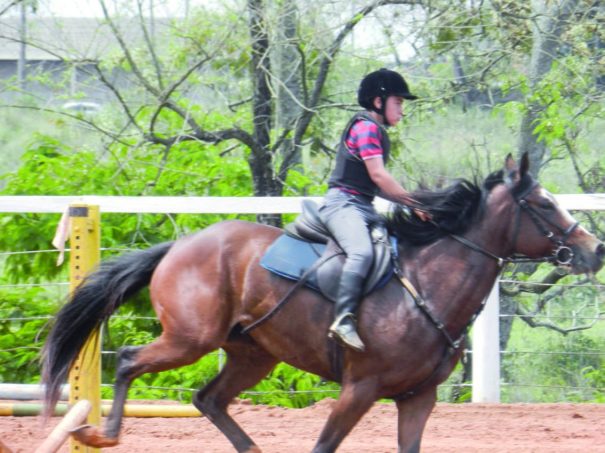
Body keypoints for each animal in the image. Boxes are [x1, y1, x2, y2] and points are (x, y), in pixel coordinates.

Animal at [40, 153, 600, 452]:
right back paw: (102, 433)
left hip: (252, 355)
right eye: (544, 204)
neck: (427, 285)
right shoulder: (359, 388)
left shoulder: (418, 397)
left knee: (209, 400)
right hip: (190, 339)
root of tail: (179, 246)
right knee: (130, 361)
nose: (596, 249)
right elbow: (324, 443)